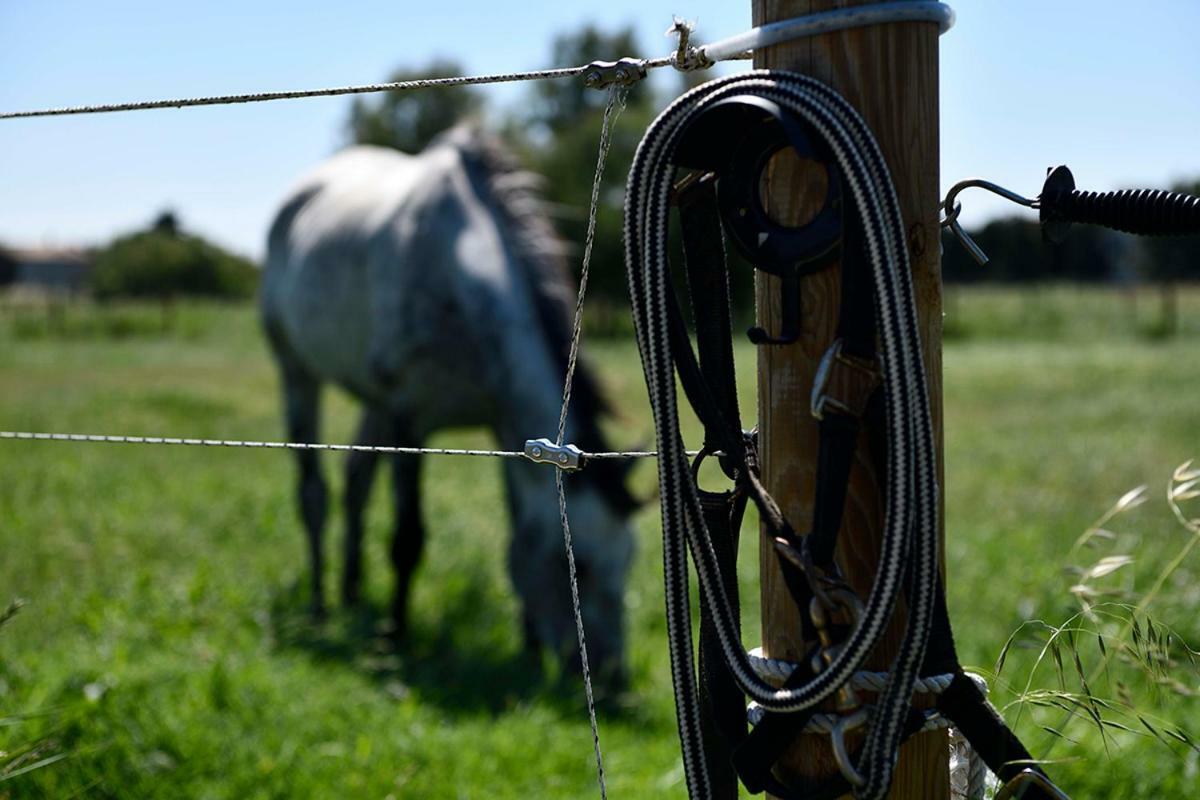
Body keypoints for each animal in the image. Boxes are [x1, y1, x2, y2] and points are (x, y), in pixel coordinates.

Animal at [261, 125, 638, 676]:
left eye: (627, 563)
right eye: (581, 566)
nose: (612, 678)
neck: (458, 273)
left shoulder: (504, 430)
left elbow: (516, 529)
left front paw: (527, 648)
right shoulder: (408, 420)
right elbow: (407, 537)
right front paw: (395, 636)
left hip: (371, 400)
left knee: (356, 481)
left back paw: (352, 593)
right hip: (297, 373)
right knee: (315, 493)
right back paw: (320, 606)